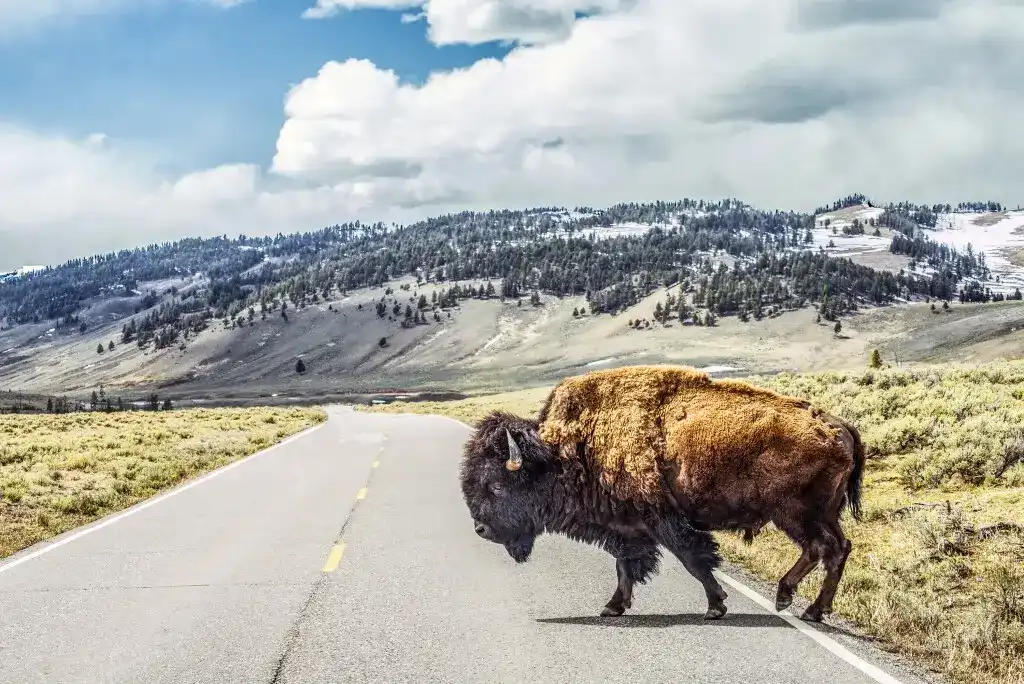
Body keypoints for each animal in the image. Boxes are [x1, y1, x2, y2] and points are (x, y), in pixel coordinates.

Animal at [460, 366, 868, 622]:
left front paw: (716, 606)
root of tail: (838, 424)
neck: (572, 448)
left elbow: (693, 559)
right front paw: (613, 606)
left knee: (818, 548)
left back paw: (786, 597)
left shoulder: (663, 520)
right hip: (826, 513)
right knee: (839, 548)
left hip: (794, 513)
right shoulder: (626, 527)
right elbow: (625, 565)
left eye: (496, 485)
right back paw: (814, 611)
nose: (480, 529)